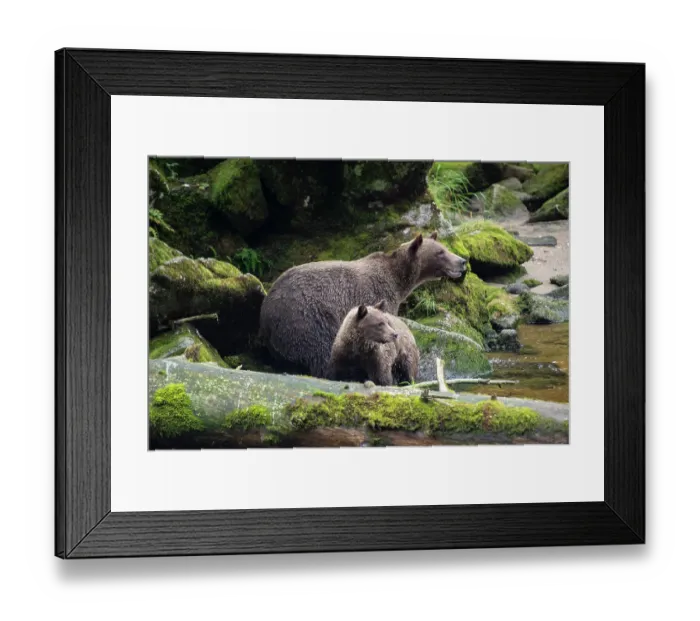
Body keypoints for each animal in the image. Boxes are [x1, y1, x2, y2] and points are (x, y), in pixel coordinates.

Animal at [259, 232, 466, 378]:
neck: (399, 281)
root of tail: (265, 311)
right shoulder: (377, 295)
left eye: (444, 248)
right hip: (307, 318)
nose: (463, 261)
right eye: (440, 252)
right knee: (320, 351)